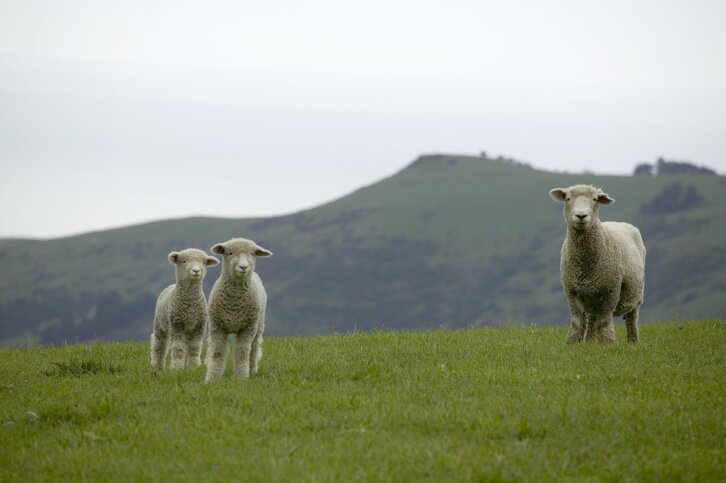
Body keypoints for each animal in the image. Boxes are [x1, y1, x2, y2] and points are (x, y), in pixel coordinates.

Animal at [205, 238, 273, 382]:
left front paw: (241, 377)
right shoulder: (217, 327)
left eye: (253, 253)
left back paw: (252, 369)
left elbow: (242, 353)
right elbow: (217, 353)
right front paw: (212, 378)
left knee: (254, 349)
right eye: (229, 253)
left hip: (258, 325)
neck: (234, 303)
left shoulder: (247, 328)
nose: (244, 267)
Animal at [549, 184, 646, 343]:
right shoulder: (571, 290)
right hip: (591, 298)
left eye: (595, 199)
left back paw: (633, 342)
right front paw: (573, 342)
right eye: (568, 198)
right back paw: (589, 342)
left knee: (632, 319)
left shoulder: (612, 289)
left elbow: (605, 320)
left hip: (636, 295)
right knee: (592, 319)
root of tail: (619, 222)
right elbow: (577, 321)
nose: (581, 216)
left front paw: (608, 342)